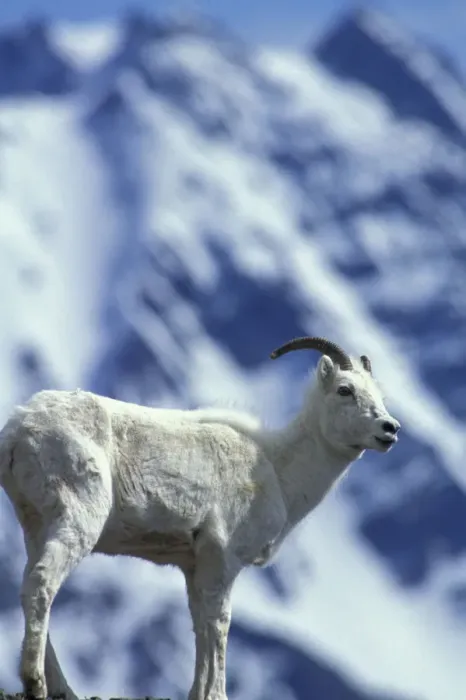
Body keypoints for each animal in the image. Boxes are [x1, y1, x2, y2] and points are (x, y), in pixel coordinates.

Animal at [0, 335, 400, 700]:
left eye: (378, 394)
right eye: (345, 390)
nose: (390, 429)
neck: (277, 469)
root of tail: (19, 429)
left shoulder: (193, 565)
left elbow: (199, 625)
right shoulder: (223, 558)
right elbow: (219, 624)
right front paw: (216, 694)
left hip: (37, 525)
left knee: (29, 584)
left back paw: (62, 689)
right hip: (79, 518)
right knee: (42, 582)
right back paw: (36, 684)